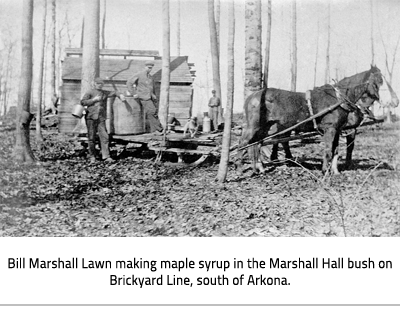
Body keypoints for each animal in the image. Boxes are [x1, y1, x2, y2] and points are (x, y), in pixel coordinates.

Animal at [236, 65, 382, 176]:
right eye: (377, 80)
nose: (378, 101)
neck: (338, 99)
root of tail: (252, 96)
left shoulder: (337, 130)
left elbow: (335, 150)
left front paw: (335, 171)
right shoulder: (330, 129)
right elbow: (328, 150)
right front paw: (325, 171)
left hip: (265, 127)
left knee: (257, 143)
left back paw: (260, 168)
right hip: (254, 126)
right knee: (244, 142)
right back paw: (238, 166)